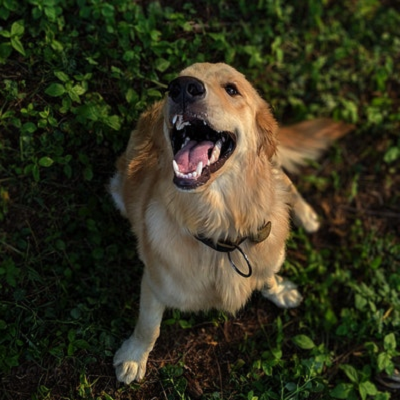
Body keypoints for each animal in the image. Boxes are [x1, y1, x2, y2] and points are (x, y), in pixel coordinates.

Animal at [109, 62, 354, 384]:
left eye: (232, 89)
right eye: (175, 83)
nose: (182, 87)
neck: (223, 230)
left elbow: (267, 274)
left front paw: (278, 289)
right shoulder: (154, 282)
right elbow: (148, 326)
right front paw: (134, 356)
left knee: (288, 182)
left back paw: (307, 215)